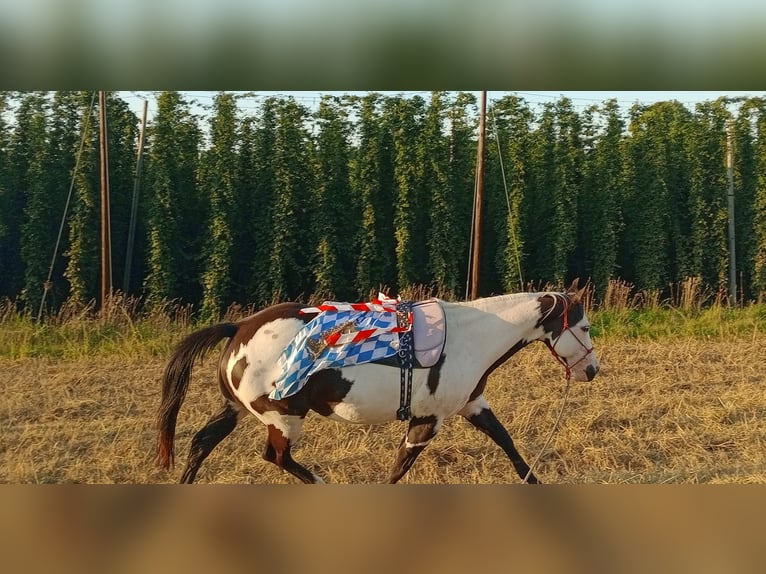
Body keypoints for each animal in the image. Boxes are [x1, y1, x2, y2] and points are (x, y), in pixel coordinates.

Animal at [155, 279, 600, 484]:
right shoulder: (427, 421)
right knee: (276, 457)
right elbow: (400, 466)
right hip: (284, 416)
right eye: (586, 327)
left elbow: (508, 444)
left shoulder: (473, 405)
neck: (469, 336)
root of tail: (240, 327)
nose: (593, 370)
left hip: (237, 409)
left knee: (201, 443)